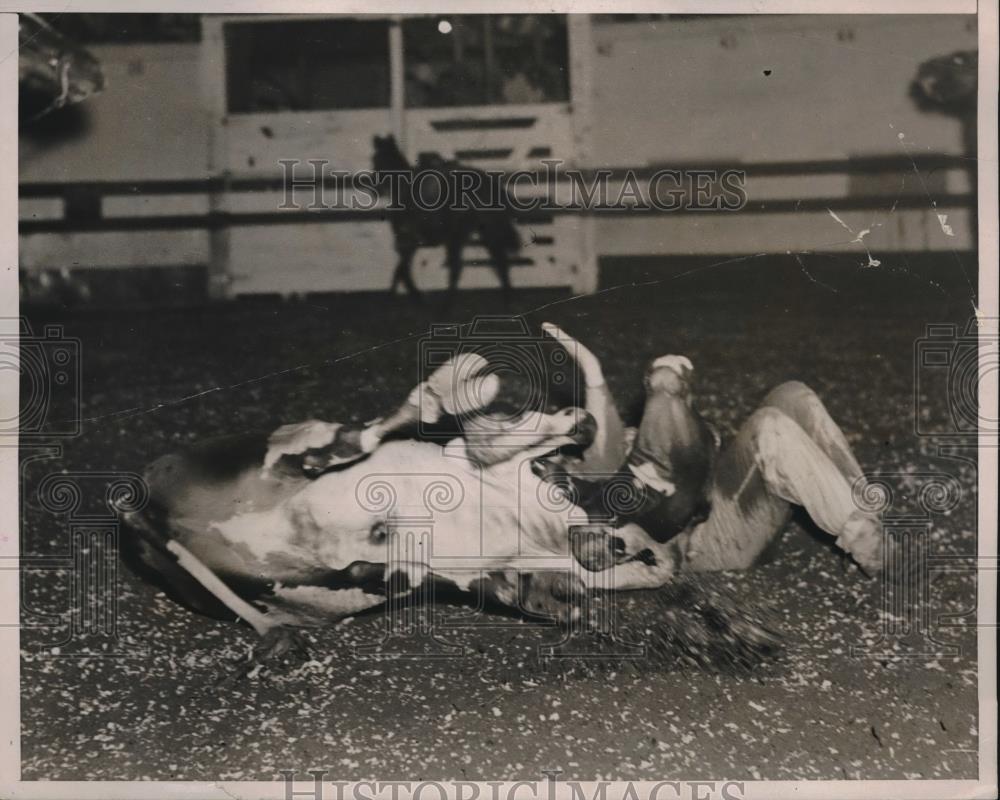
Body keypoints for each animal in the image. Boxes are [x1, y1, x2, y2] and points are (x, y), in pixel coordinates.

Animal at [372, 134, 520, 304]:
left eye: (376, 159)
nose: (375, 190)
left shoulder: (408, 241)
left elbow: (401, 271)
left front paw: (413, 296)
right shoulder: (410, 243)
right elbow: (402, 270)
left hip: (459, 236)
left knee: (461, 269)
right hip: (482, 233)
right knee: (499, 264)